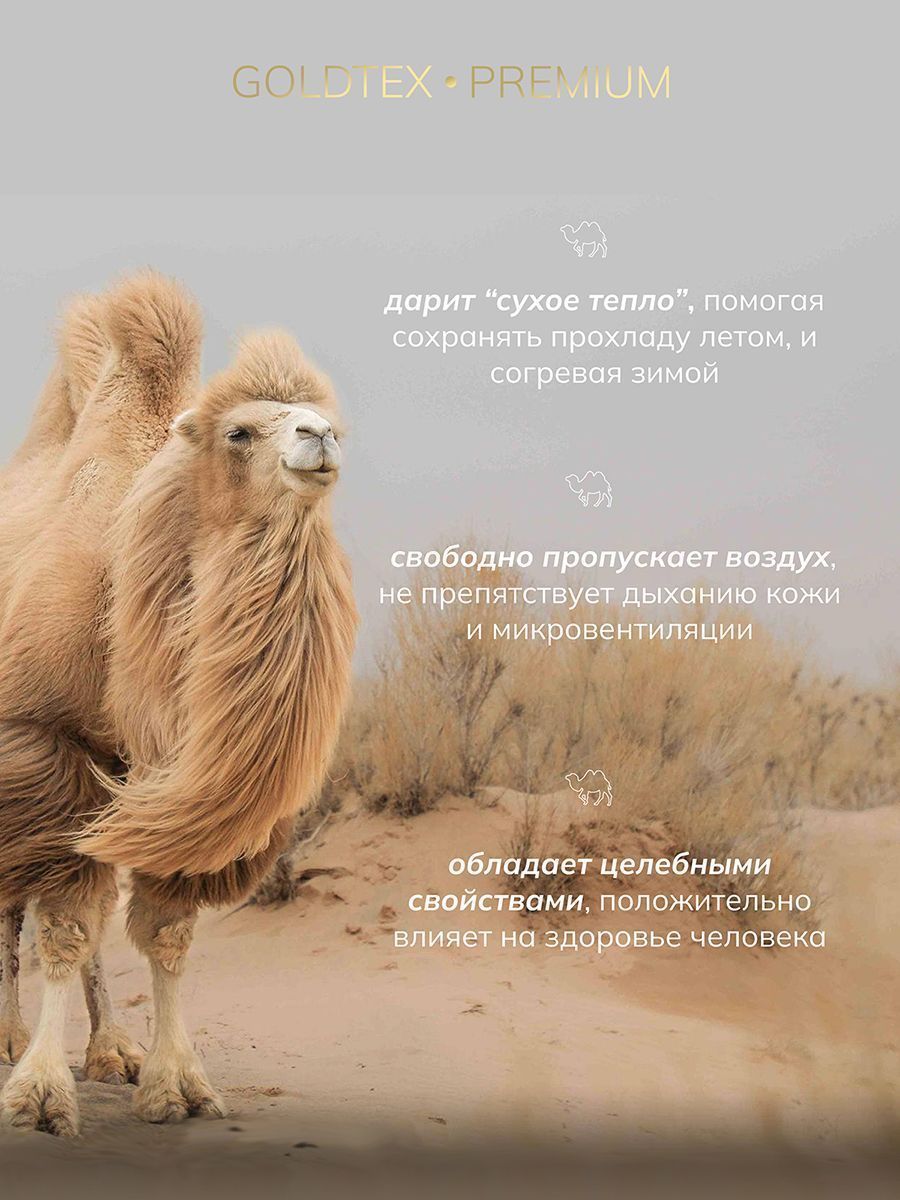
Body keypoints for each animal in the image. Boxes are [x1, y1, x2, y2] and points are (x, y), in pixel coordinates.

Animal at [0, 272, 357, 1135]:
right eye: (239, 432)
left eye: (326, 418)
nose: (321, 438)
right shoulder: (41, 739)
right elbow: (61, 927)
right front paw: (40, 1093)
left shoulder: (161, 778)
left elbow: (163, 934)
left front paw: (175, 1083)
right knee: (12, 912)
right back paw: (14, 1041)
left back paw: (109, 1050)